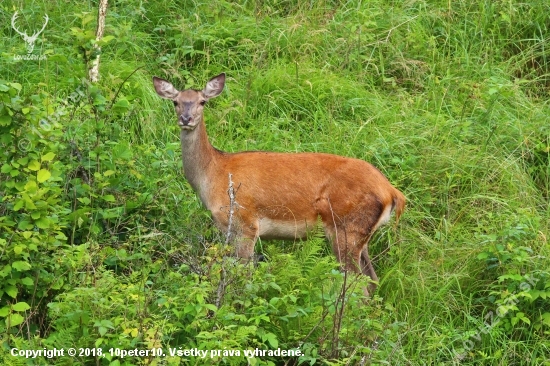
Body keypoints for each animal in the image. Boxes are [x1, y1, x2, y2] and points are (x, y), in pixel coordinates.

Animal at [153, 72, 408, 294]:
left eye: (202, 101)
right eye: (176, 102)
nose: (186, 119)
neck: (213, 174)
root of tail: (391, 192)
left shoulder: (246, 223)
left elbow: (243, 277)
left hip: (346, 229)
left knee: (360, 285)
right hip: (360, 235)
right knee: (373, 280)